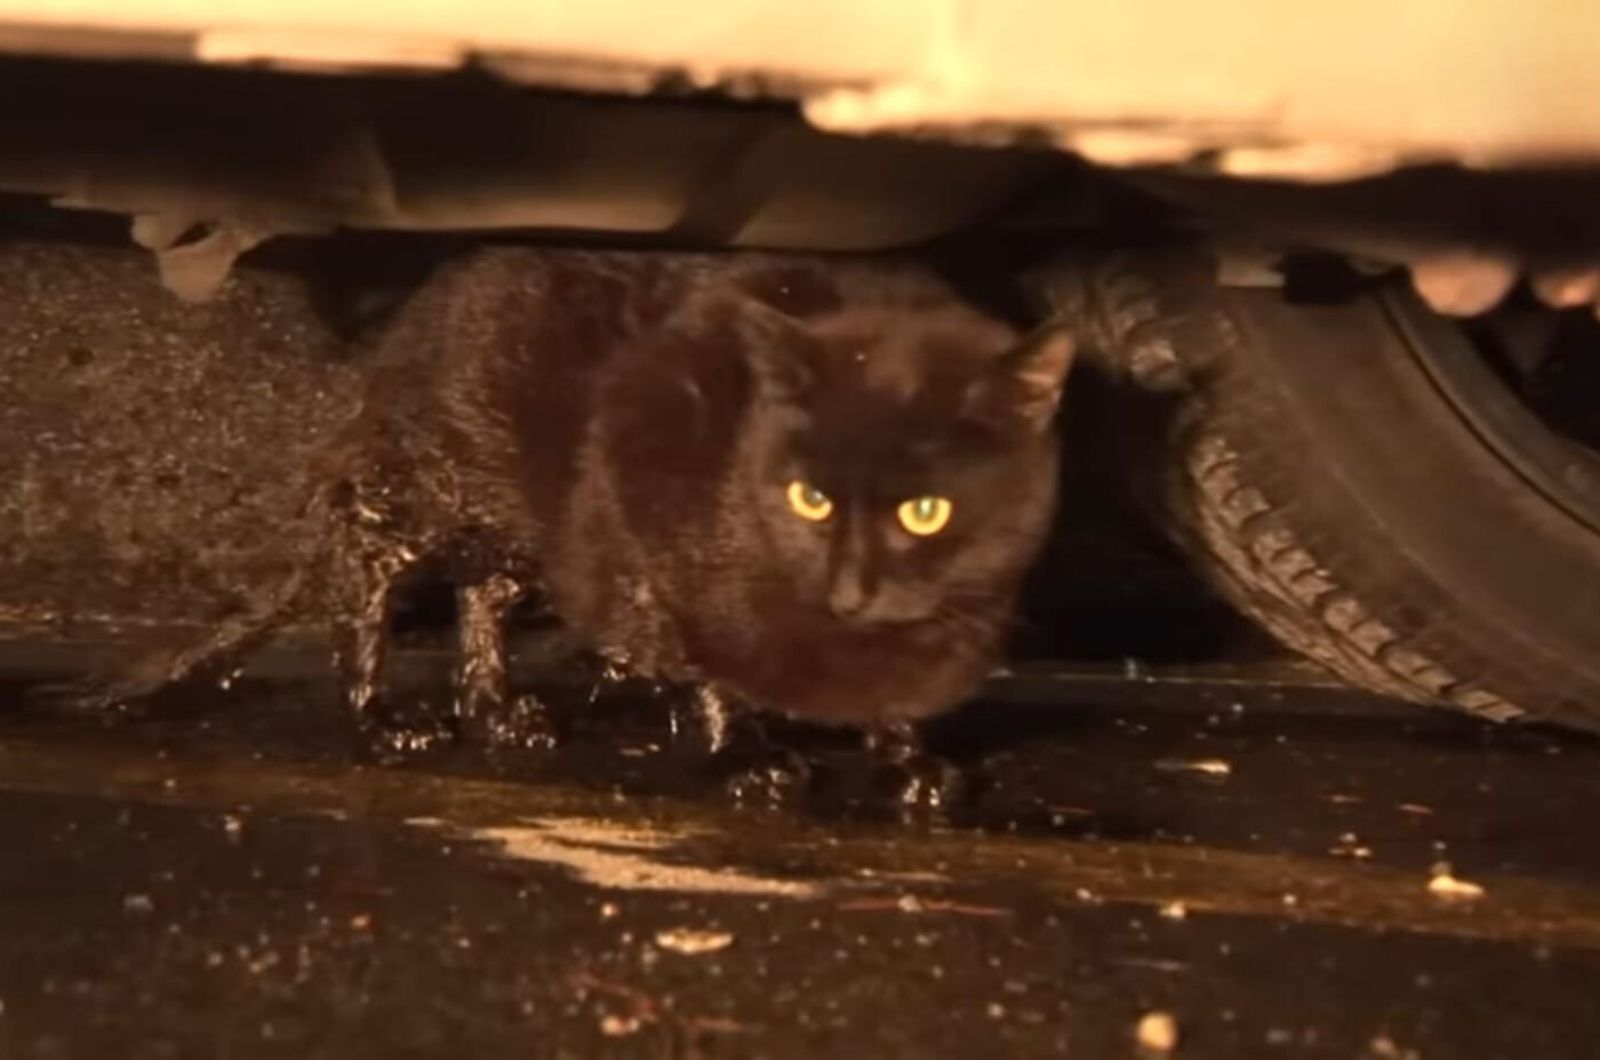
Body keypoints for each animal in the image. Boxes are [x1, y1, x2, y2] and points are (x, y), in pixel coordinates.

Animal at [78, 249, 1075, 778]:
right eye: (811, 494)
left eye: (927, 509)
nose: (855, 581)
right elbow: (704, 654)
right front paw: (742, 750)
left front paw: (910, 754)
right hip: (437, 482)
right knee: (365, 556)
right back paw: (385, 715)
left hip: (516, 517)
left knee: (482, 591)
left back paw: (500, 711)